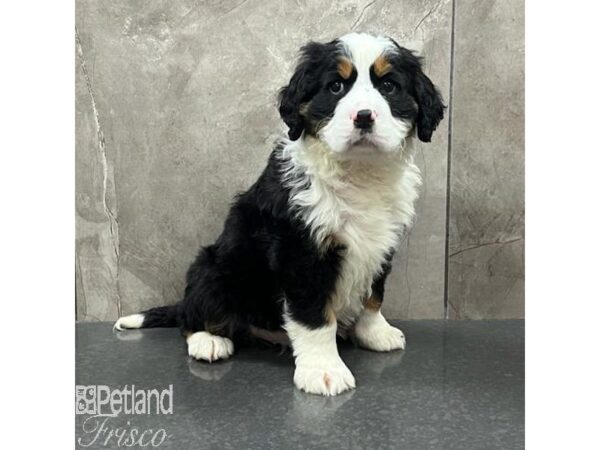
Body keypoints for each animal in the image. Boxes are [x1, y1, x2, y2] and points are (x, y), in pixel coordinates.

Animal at [116, 32, 446, 398]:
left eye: (389, 85)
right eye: (335, 86)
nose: (363, 116)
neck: (359, 173)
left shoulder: (382, 241)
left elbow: (374, 295)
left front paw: (375, 332)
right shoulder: (301, 249)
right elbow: (314, 315)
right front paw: (323, 370)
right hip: (213, 267)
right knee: (191, 315)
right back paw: (208, 340)